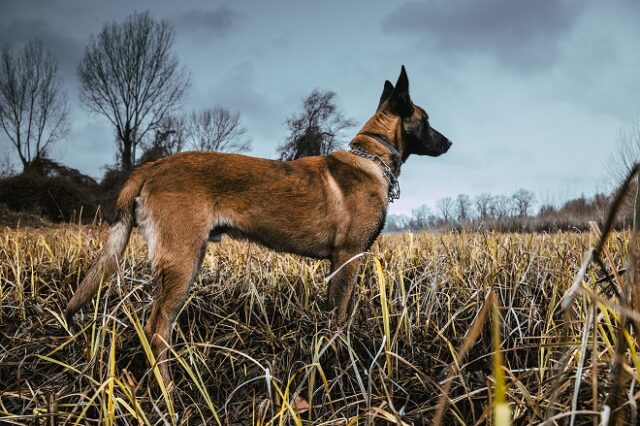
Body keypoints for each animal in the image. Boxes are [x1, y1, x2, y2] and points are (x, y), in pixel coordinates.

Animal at [66, 65, 450, 386]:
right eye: (427, 119)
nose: (449, 143)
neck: (372, 158)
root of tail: (152, 166)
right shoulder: (347, 258)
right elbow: (339, 319)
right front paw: (341, 364)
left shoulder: (339, 263)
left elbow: (333, 315)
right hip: (182, 262)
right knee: (156, 328)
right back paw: (168, 387)